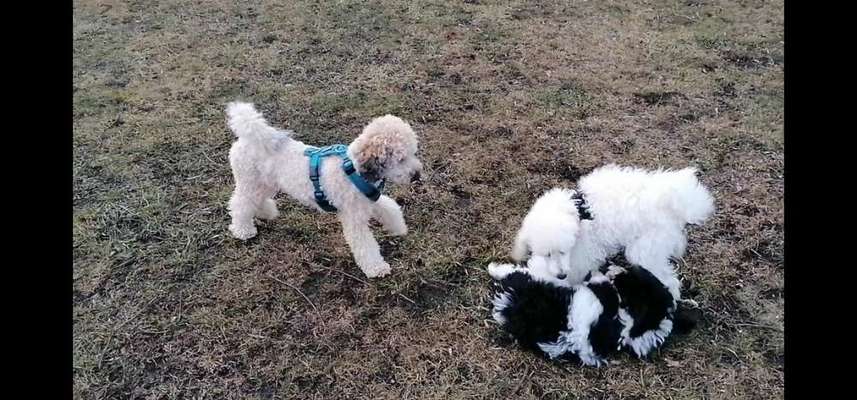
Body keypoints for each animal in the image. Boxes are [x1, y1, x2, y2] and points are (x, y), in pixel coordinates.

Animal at [222, 101, 420, 278]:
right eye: (401, 159)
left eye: (413, 153)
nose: (416, 175)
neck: (353, 169)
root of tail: (248, 138)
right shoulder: (353, 217)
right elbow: (364, 245)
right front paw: (377, 268)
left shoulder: (372, 199)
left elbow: (390, 208)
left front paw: (399, 228)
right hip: (250, 181)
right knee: (240, 204)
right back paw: (243, 230)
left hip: (265, 183)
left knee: (255, 200)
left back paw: (265, 212)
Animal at [512, 164, 712, 298]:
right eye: (547, 254)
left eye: (563, 251)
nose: (561, 274)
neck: (578, 211)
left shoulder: (583, 253)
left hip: (646, 250)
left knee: (669, 281)